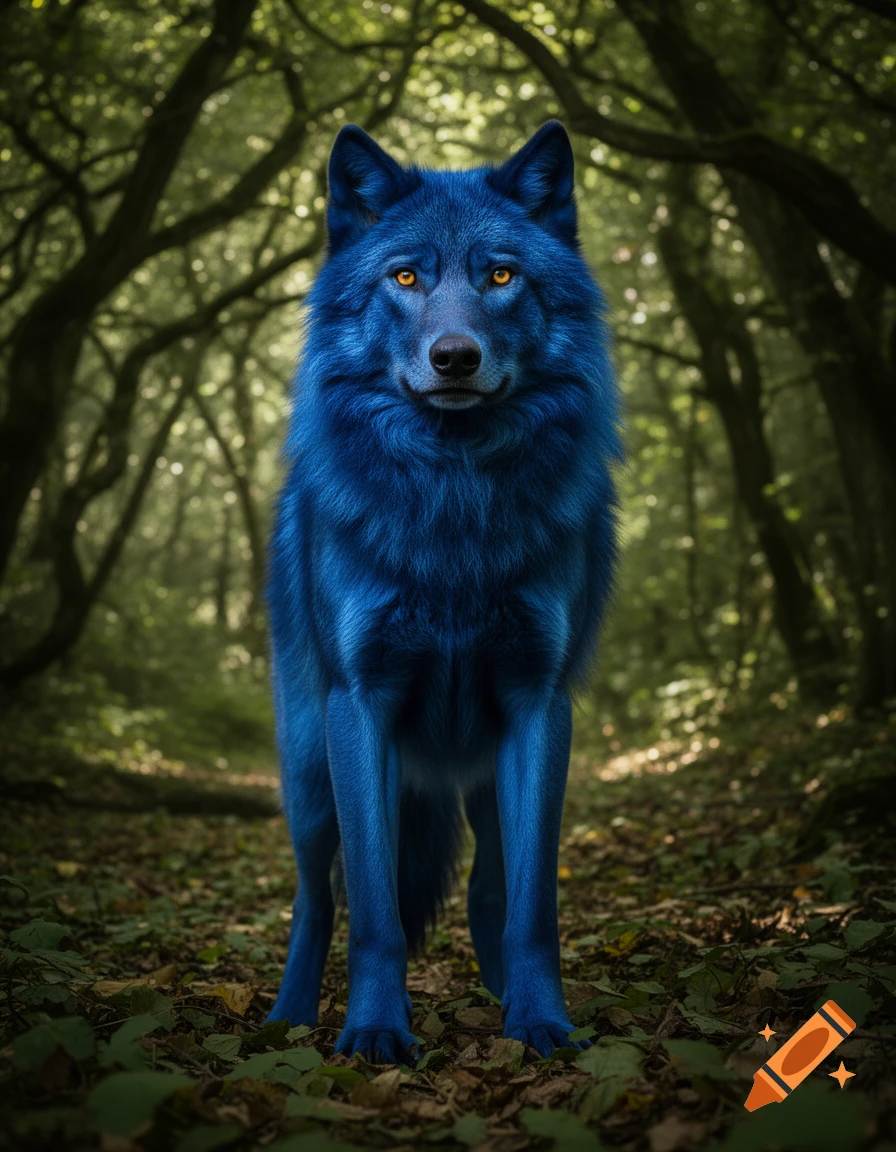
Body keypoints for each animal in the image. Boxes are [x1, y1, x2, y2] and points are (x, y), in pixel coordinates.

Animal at [266, 119, 621, 1064]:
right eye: (406, 277)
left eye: (500, 275)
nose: (454, 357)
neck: (454, 508)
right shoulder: (361, 708)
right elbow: (376, 913)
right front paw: (373, 1030)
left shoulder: (539, 709)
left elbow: (532, 907)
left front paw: (541, 1023)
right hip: (309, 777)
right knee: (319, 898)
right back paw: (288, 1017)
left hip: (484, 780)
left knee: (490, 892)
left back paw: (503, 998)